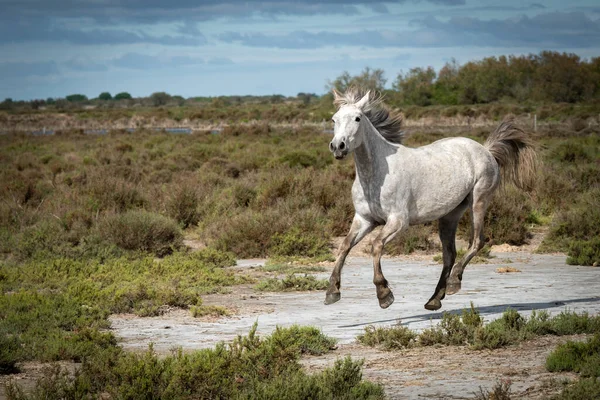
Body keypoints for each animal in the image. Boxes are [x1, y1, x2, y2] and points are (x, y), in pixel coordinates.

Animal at [326, 87, 536, 310]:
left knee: (477, 241)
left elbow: (376, 246)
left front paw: (384, 294)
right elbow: (344, 246)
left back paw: (454, 282)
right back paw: (435, 299)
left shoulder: (398, 221)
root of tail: (486, 150)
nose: (338, 146)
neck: (376, 174)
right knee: (449, 253)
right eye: (334, 119)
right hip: (449, 215)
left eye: (357, 118)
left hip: (479, 201)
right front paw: (332, 291)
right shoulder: (365, 219)